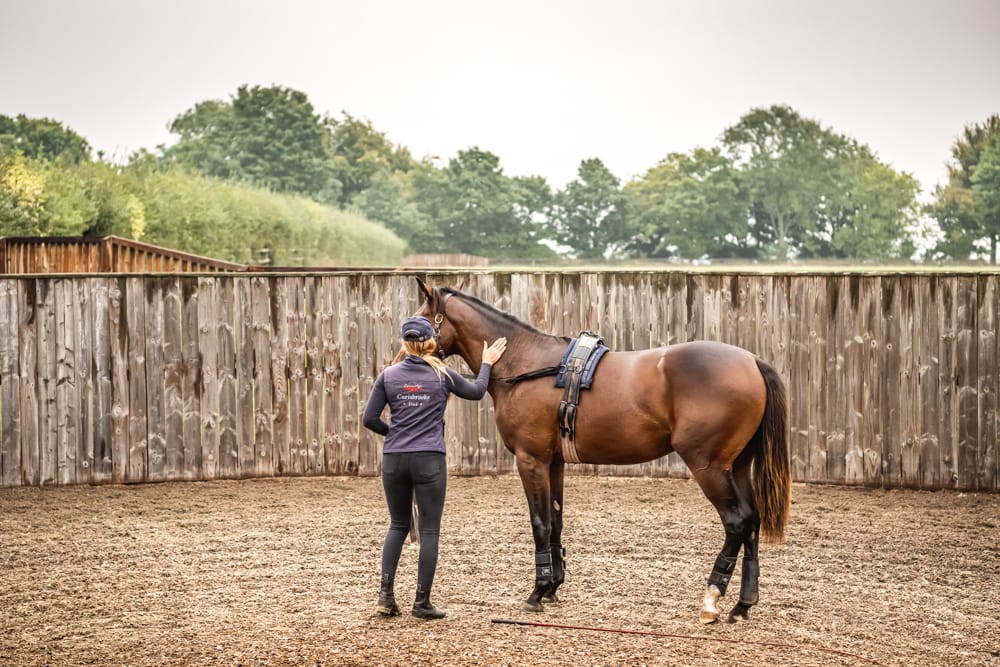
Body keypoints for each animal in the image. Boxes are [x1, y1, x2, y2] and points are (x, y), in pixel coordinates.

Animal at [411, 277, 791, 624]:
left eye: (422, 319)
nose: (406, 349)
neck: (524, 362)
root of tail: (752, 361)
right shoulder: (554, 462)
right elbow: (556, 520)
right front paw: (553, 586)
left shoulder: (531, 460)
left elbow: (540, 523)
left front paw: (537, 591)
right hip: (737, 465)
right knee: (752, 520)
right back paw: (743, 604)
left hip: (708, 466)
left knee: (737, 521)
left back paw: (712, 597)